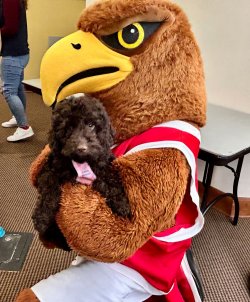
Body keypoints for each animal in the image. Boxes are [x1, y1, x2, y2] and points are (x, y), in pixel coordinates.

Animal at [31, 94, 131, 250]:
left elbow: (110, 179)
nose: (81, 148)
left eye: (91, 125)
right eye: (68, 128)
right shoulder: (50, 168)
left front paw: (122, 204)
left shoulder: (103, 164)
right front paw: (42, 216)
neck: (81, 161)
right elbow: (49, 186)